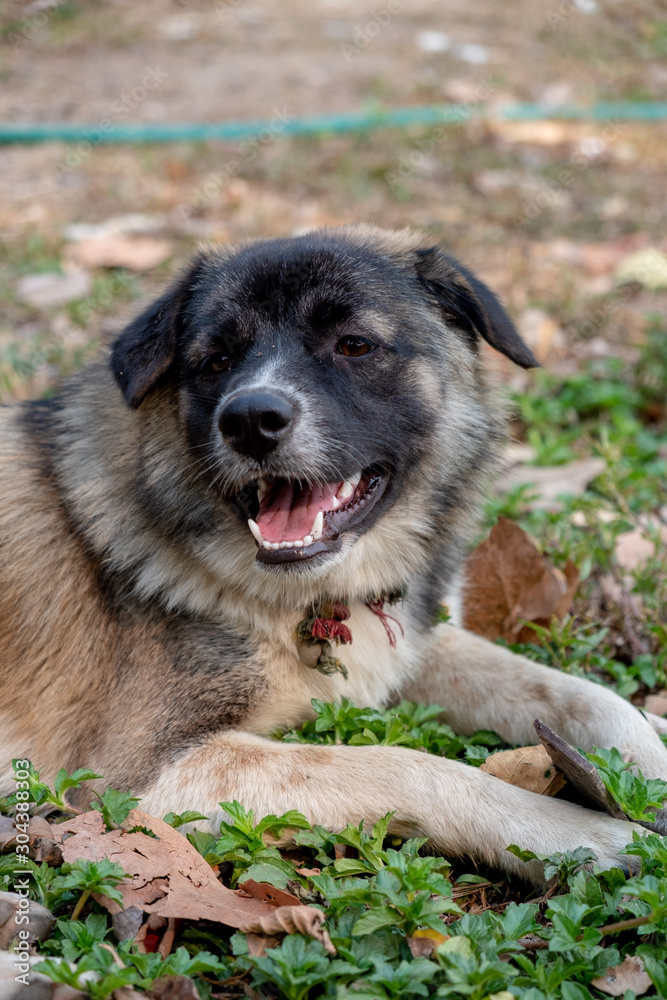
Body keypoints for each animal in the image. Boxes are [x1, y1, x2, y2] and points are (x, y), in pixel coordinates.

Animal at [0, 229, 664, 884]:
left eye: (354, 345)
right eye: (217, 361)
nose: (249, 420)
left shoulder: (412, 645)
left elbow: (590, 697)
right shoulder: (136, 778)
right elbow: (402, 764)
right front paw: (576, 834)